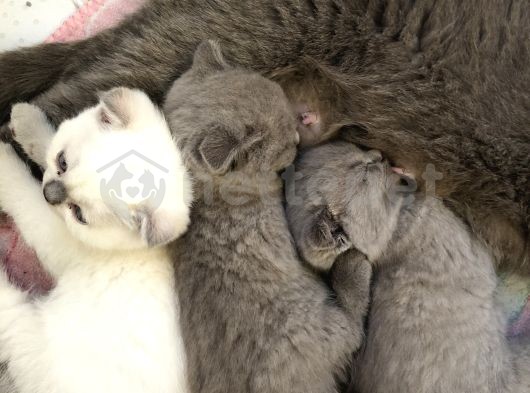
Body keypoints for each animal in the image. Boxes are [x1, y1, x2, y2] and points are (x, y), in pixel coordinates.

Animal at [0, 88, 192, 392]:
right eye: (62, 162)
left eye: (79, 214)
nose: (49, 194)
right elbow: (46, 142)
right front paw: (26, 120)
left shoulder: (56, 238)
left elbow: (21, 190)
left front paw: (3, 158)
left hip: (34, 335)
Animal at [165, 40, 372, 392]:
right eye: (287, 143)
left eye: (292, 123)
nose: (299, 140)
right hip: (317, 326)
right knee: (352, 326)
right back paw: (354, 268)